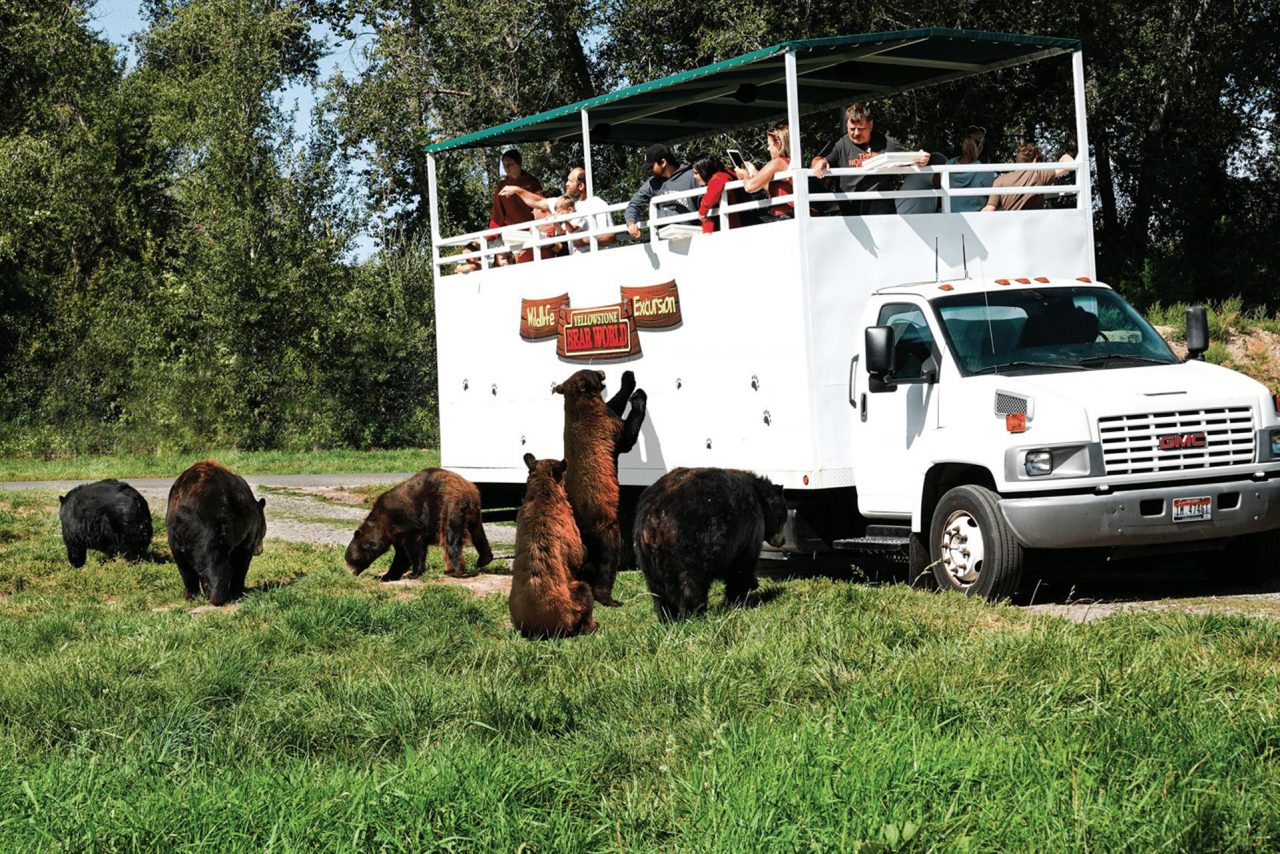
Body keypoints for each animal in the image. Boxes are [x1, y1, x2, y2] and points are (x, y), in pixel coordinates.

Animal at [166, 460, 267, 606]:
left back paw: (192, 595)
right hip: (214, 527)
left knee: (185, 567)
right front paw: (238, 591)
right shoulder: (247, 531)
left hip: (175, 535)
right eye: (263, 532)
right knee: (219, 564)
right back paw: (219, 596)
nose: (260, 550)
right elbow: (242, 558)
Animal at [345, 468, 493, 581]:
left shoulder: (407, 524)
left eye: (350, 561)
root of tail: (468, 489)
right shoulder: (396, 534)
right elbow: (401, 555)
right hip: (473, 514)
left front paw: (414, 573)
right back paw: (484, 559)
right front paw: (386, 576)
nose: (350, 573)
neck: (383, 525)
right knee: (478, 534)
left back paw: (453, 570)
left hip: (449, 507)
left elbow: (413, 548)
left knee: (451, 538)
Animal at [508, 453, 596, 639]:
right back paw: (591, 626)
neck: (544, 496)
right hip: (573, 603)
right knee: (585, 591)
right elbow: (578, 555)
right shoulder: (569, 525)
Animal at [554, 368, 647, 607]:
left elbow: (615, 403)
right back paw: (608, 598)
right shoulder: (605, 423)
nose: (602, 371)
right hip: (606, 532)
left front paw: (627, 380)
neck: (580, 404)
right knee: (607, 562)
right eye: (593, 372)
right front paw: (636, 392)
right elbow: (627, 435)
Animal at [634, 467, 788, 622]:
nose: (783, 541)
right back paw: (695, 614)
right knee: (691, 583)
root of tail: (656, 517)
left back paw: (667, 618)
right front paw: (739, 597)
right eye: (783, 518)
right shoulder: (749, 529)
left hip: (646, 553)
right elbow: (741, 565)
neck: (759, 497)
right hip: (691, 544)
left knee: (657, 590)